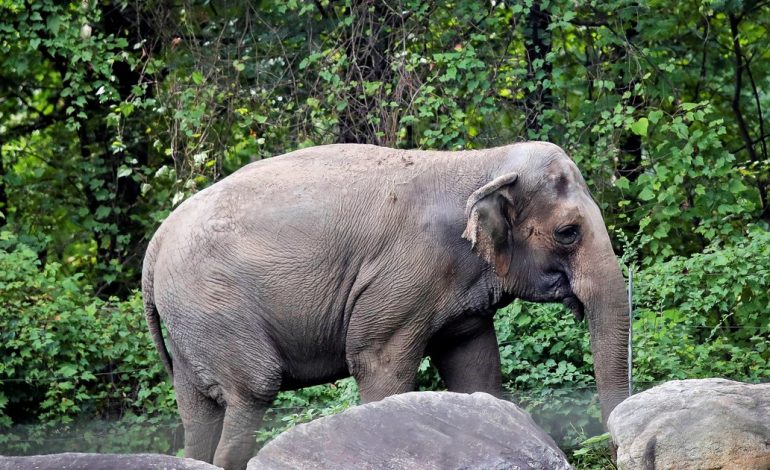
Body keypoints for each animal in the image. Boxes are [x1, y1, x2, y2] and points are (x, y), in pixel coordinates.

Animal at [142, 141, 630, 470]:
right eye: (568, 232)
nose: (612, 450)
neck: (480, 161)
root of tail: (157, 242)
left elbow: (476, 368)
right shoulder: (403, 276)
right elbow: (379, 363)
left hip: (190, 322)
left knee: (197, 411)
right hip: (214, 304)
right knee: (252, 390)